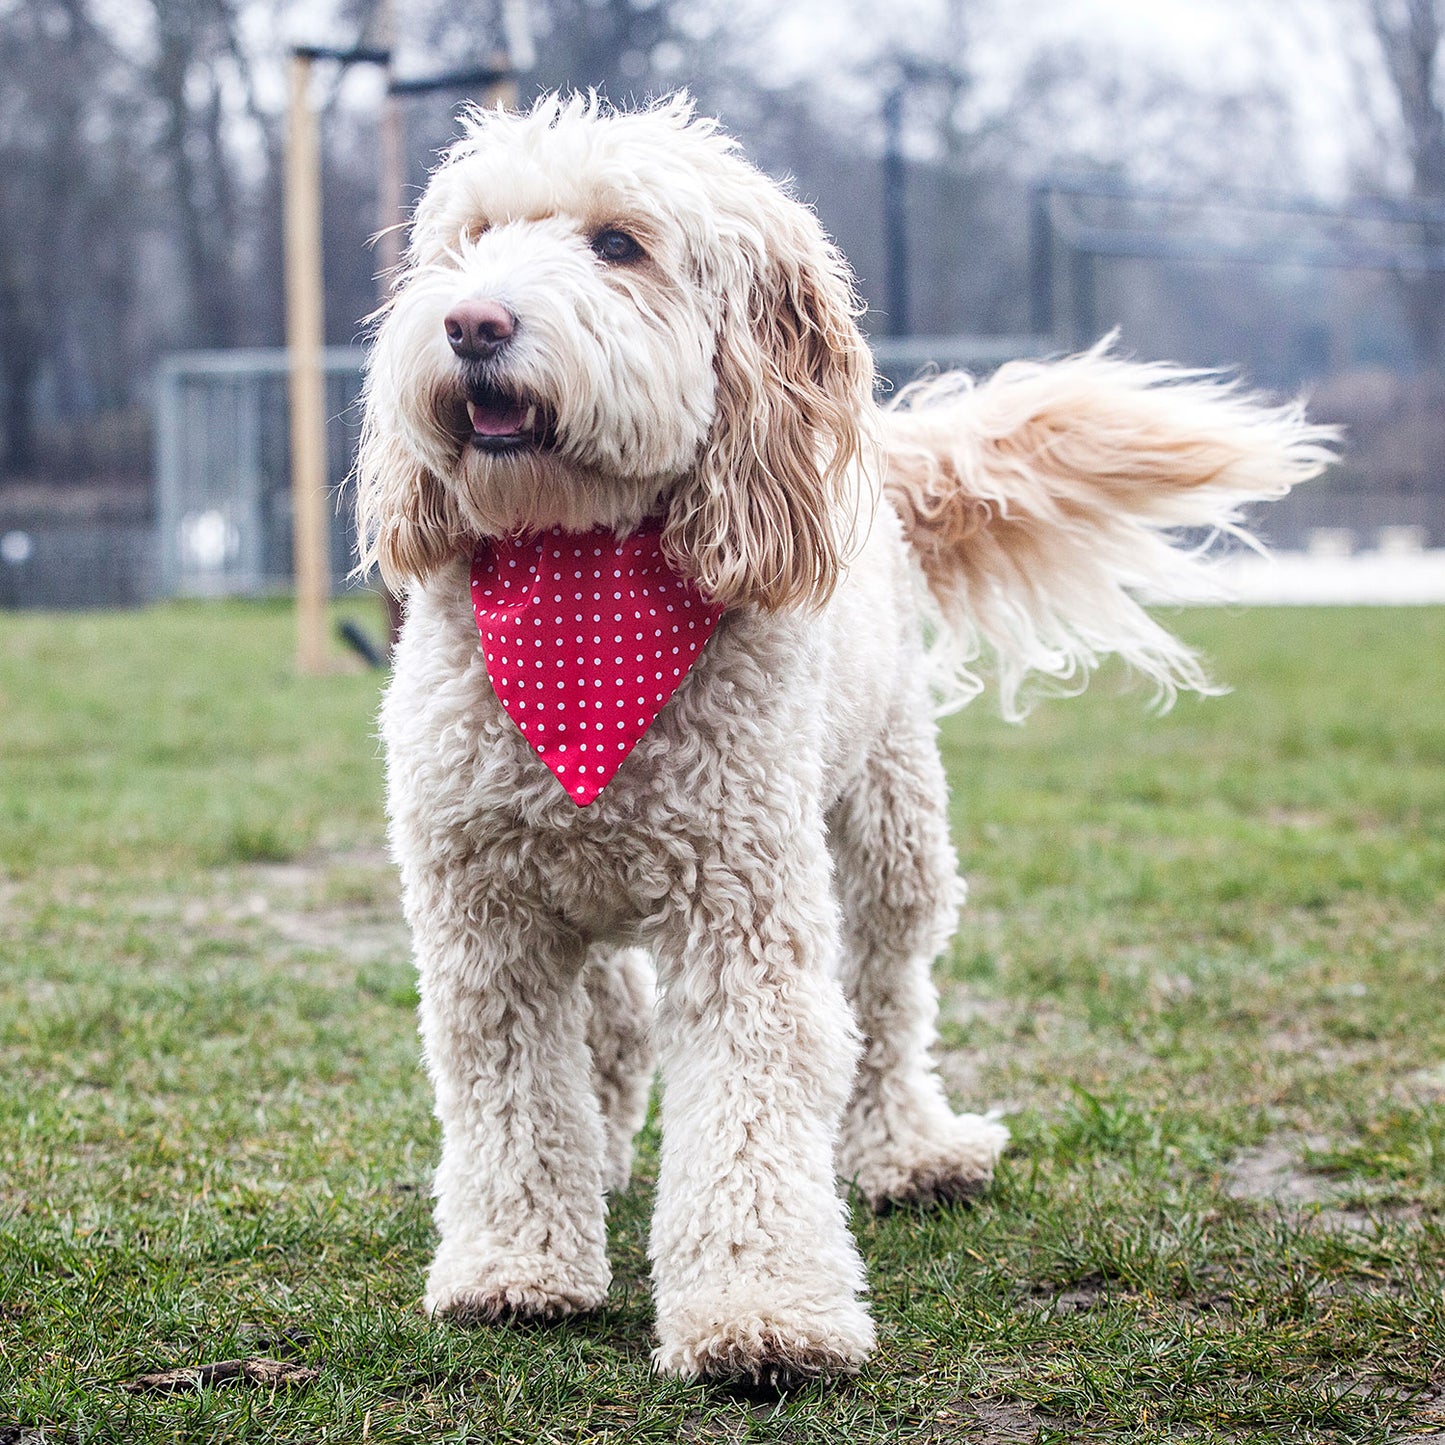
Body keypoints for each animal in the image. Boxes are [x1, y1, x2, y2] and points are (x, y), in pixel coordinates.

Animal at [355, 96, 1335, 1381]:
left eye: (619, 245)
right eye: (471, 241)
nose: (472, 321)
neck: (578, 581)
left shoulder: (744, 911)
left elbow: (750, 1109)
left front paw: (758, 1309)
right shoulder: (483, 918)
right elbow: (512, 1100)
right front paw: (515, 1264)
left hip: (889, 828)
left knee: (885, 1003)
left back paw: (907, 1149)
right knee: (613, 1014)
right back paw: (607, 1148)